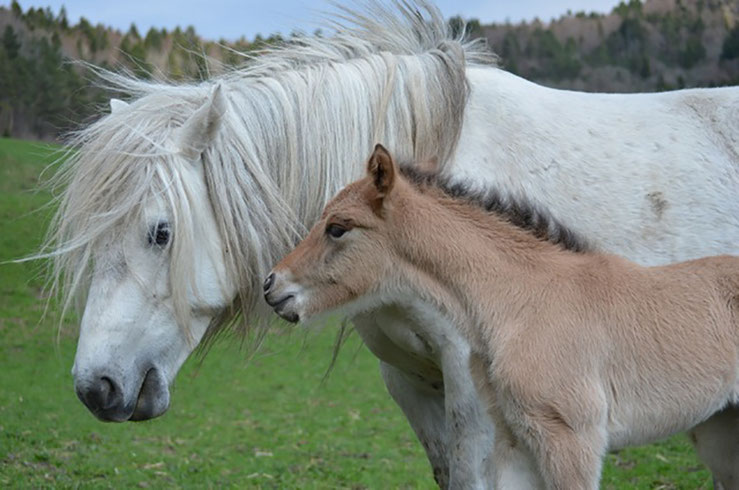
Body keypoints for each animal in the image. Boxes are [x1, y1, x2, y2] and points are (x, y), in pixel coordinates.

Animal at [266, 145, 739, 490]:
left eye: (338, 228)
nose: (272, 286)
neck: (522, 302)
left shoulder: (572, 441)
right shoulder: (514, 443)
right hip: (719, 431)